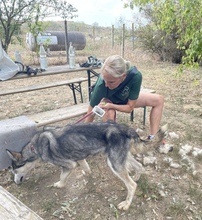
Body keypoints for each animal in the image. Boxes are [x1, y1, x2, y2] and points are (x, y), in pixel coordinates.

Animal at [6, 121, 167, 211]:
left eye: (14, 170)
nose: (15, 183)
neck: (35, 147)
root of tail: (126, 128)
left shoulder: (69, 164)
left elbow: (62, 176)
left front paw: (59, 185)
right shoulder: (80, 158)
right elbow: (86, 168)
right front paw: (87, 175)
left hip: (113, 163)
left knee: (132, 185)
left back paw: (126, 204)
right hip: (121, 158)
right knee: (139, 167)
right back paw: (137, 176)